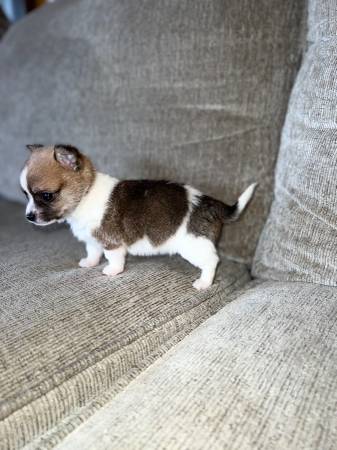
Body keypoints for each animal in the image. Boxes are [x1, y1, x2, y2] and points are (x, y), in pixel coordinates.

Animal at [19, 146, 256, 290]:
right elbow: (93, 252)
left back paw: (204, 282)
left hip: (194, 245)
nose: (28, 217)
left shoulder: (112, 242)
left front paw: (112, 271)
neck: (85, 195)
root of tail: (209, 202)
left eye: (47, 196)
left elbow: (113, 258)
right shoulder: (93, 240)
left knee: (212, 261)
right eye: (25, 194)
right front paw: (90, 263)